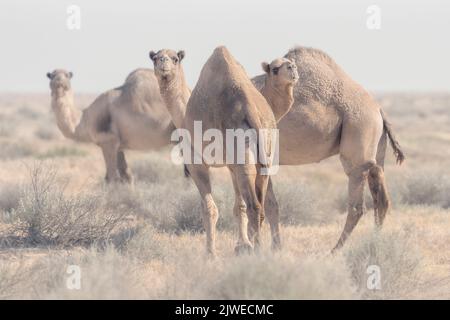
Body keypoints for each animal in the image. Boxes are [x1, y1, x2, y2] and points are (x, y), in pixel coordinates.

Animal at [46, 68, 176, 182]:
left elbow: (112, 178)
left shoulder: (108, 141)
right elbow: (126, 176)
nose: (59, 81)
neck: (84, 120)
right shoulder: (118, 145)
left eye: (67, 75)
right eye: (51, 75)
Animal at [149, 47, 296, 255]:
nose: (163, 63)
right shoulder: (231, 165)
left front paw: (211, 254)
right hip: (262, 154)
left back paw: (258, 253)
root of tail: (250, 109)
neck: (183, 117)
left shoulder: (196, 162)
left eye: (175, 58)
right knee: (262, 205)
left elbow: (209, 209)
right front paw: (242, 245)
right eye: (154, 58)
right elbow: (238, 206)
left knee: (254, 206)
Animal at [255, 47, 406, 252]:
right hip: (377, 151)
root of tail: (378, 109)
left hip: (359, 134)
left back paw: (335, 250)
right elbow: (267, 204)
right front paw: (272, 247)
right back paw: (375, 243)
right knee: (381, 198)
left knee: (357, 205)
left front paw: (265, 248)